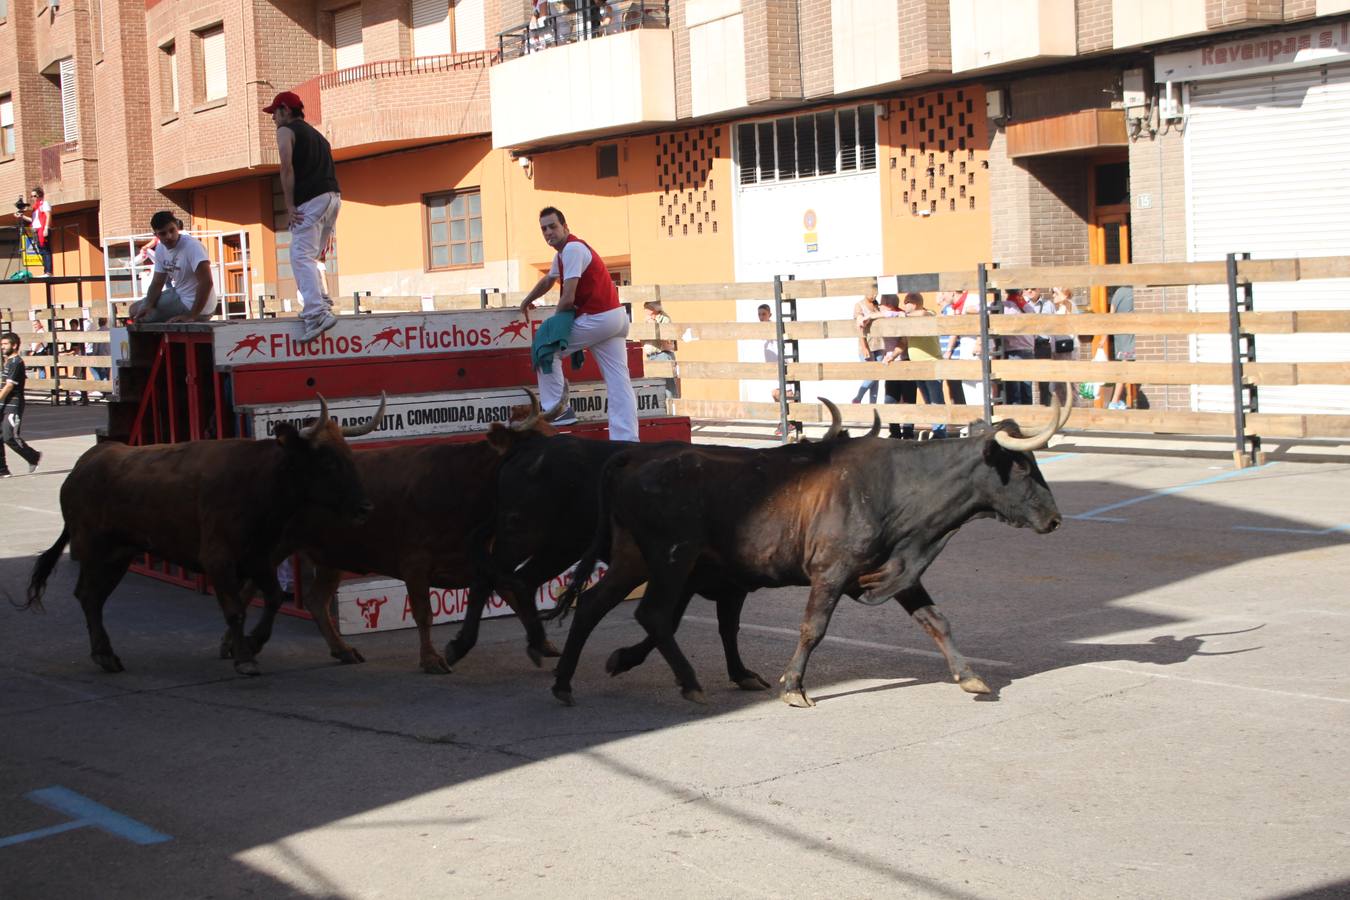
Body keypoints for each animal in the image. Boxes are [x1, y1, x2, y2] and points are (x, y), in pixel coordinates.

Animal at [542, 396, 1069, 712]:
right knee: (652, 614)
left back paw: (565, 682)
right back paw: (687, 681)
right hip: (671, 559)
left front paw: (969, 676)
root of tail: (635, 456)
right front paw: (793, 686)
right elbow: (813, 628)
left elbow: (936, 621)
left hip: (634, 558)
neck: (896, 486)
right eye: (1023, 467)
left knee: (593, 606)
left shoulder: (896, 570)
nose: (1054, 519)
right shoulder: (830, 573)